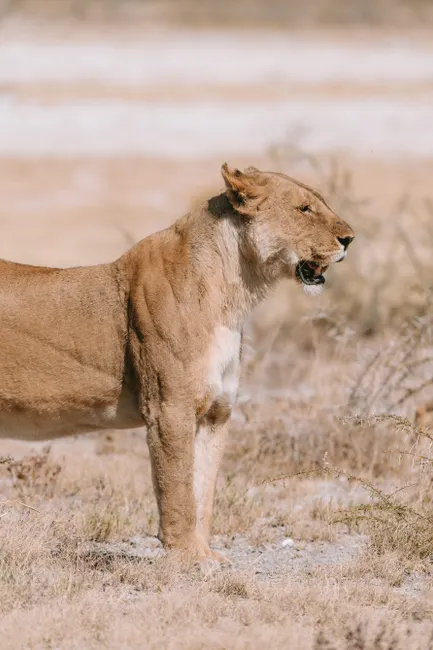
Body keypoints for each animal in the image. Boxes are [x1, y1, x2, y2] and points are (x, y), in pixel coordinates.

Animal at [0, 164, 354, 564]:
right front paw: (187, 557)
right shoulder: (169, 407)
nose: (350, 239)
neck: (233, 295)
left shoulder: (216, 413)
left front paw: (205, 554)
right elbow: (177, 486)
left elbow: (203, 491)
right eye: (304, 209)